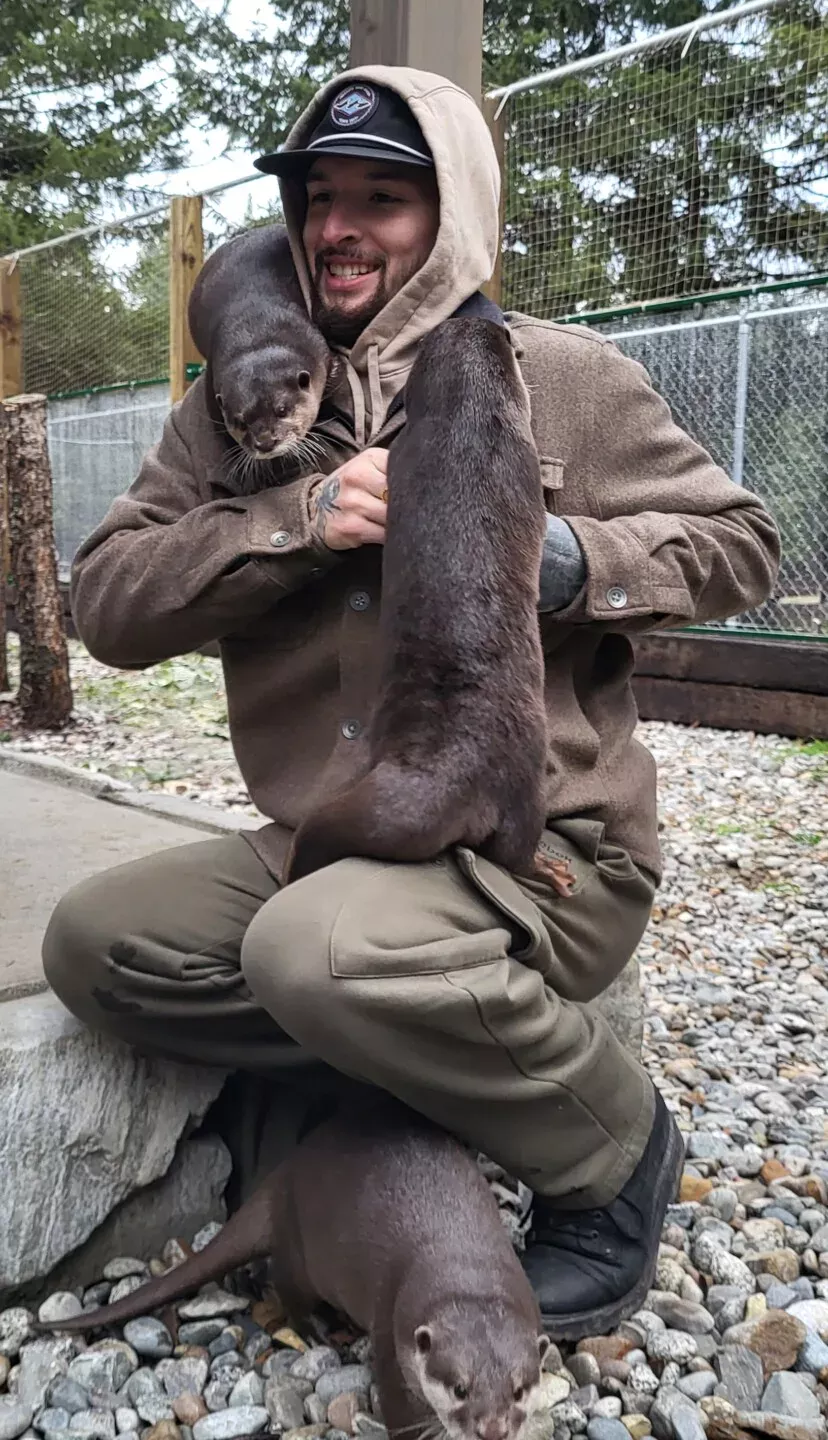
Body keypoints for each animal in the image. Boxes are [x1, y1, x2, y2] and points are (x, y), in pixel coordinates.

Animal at [45, 1104, 549, 1439]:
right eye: (460, 1387)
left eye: (519, 1389)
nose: (493, 1429)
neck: (464, 1264)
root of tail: (285, 1175)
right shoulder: (393, 1336)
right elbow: (402, 1413)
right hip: (304, 1251)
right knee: (285, 1284)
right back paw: (318, 1329)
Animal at [287, 317, 575, 897]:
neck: (464, 422)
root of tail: (442, 769)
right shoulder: (522, 452)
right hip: (526, 773)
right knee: (512, 848)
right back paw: (549, 870)